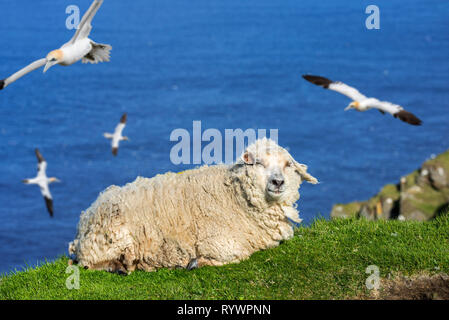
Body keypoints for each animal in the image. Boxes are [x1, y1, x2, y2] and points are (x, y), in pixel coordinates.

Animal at [68, 138, 316, 272]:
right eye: (258, 163)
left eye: (287, 165)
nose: (278, 182)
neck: (236, 196)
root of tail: (86, 215)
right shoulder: (218, 241)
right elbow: (238, 254)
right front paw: (196, 263)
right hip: (110, 238)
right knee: (87, 263)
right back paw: (118, 266)